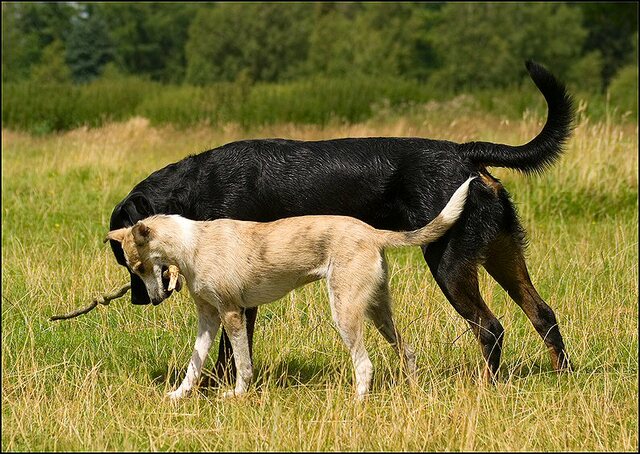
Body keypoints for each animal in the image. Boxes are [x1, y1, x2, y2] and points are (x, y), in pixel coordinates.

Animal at [105, 179, 472, 400]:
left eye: (139, 267)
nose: (153, 301)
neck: (192, 244)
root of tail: (373, 233)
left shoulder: (232, 314)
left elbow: (242, 364)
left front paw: (237, 396)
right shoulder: (208, 318)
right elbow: (194, 366)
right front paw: (178, 396)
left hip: (345, 311)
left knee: (365, 365)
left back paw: (357, 403)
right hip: (377, 310)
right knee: (406, 350)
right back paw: (413, 392)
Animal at [110, 60, 576, 380]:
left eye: (131, 261)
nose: (137, 300)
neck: (196, 188)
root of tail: (464, 154)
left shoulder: (238, 297)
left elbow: (230, 353)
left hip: (449, 263)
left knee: (491, 328)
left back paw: (486, 386)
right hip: (501, 253)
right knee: (543, 314)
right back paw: (563, 377)